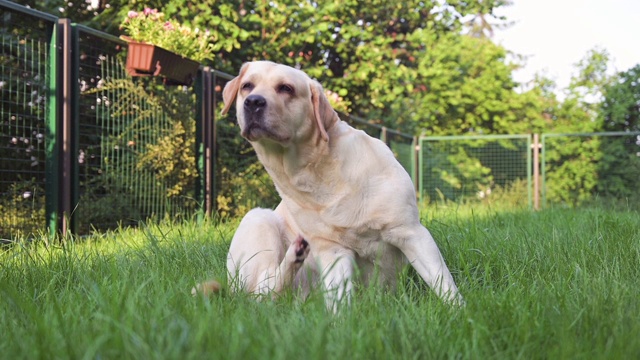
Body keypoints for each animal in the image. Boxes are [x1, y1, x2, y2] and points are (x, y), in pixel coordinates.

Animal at [198, 62, 462, 310]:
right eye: (247, 86)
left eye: (286, 88)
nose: (253, 102)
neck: (312, 170)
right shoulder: (333, 251)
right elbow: (339, 303)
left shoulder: (411, 232)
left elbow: (444, 284)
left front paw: (459, 313)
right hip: (259, 218)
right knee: (263, 290)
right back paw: (295, 254)